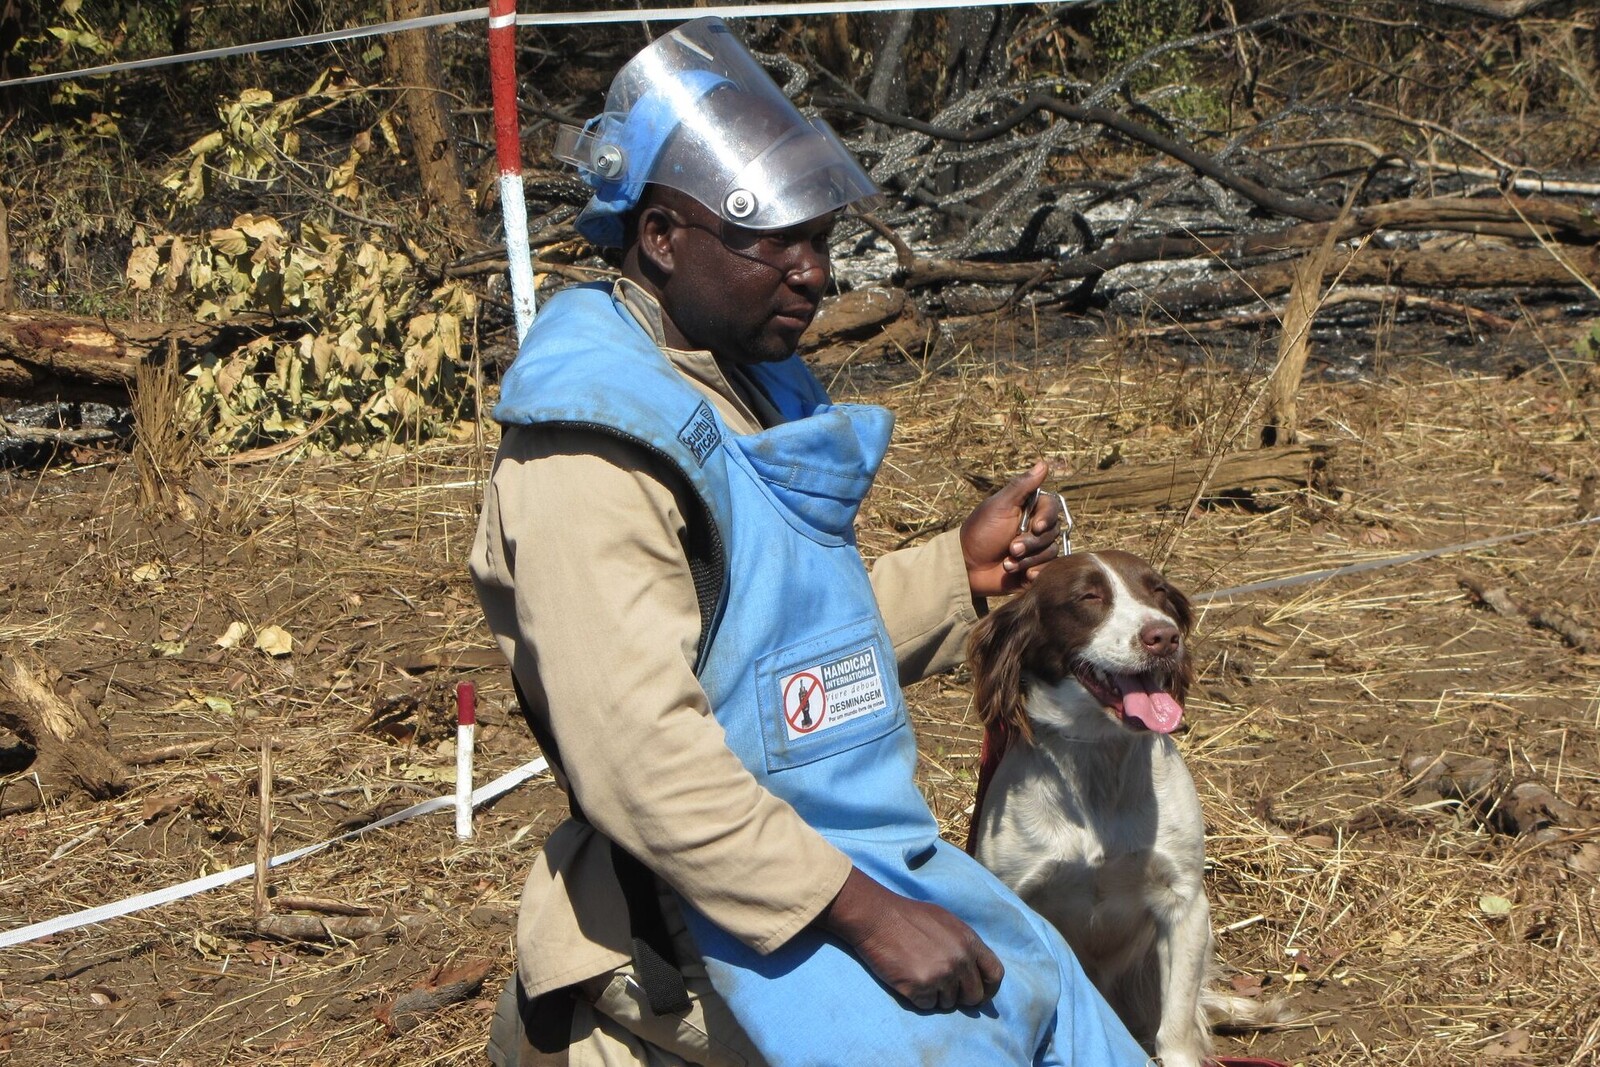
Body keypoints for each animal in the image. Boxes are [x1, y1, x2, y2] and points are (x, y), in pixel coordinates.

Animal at [966, 550, 1267, 1067]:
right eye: (1088, 597)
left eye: (1158, 590)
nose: (1164, 636)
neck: (1099, 757)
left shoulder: (1184, 904)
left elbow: (1177, 1030)